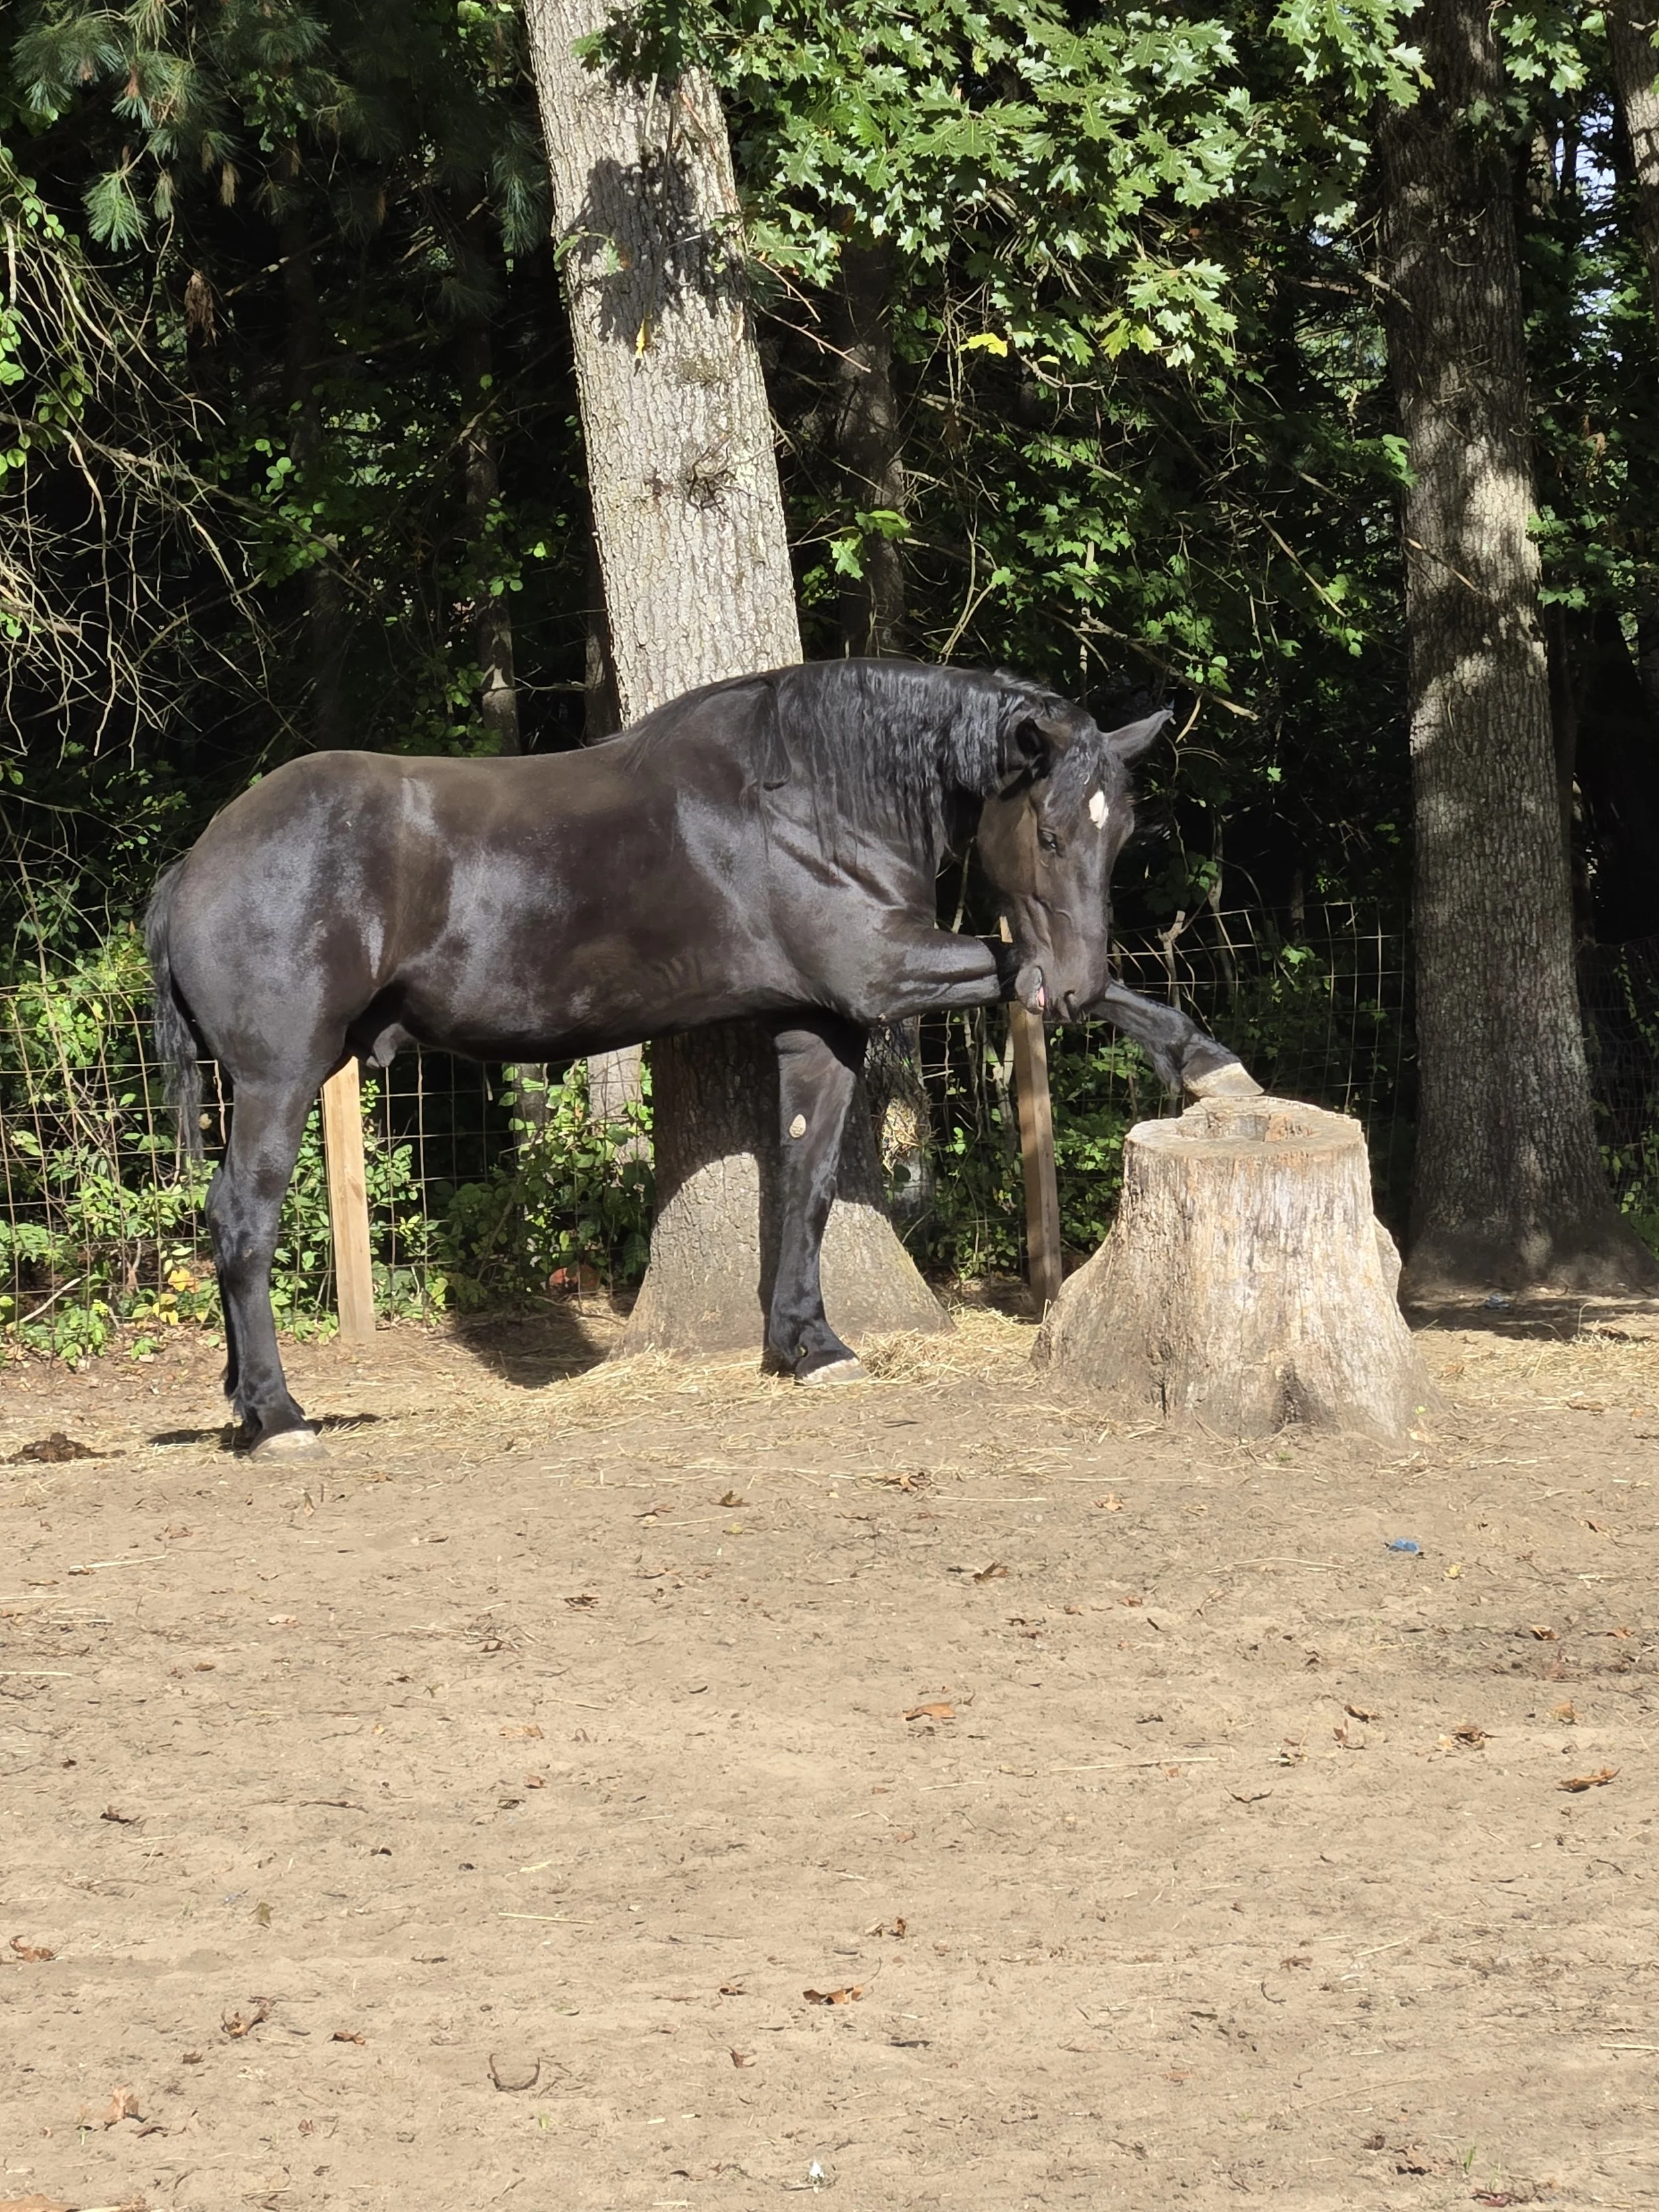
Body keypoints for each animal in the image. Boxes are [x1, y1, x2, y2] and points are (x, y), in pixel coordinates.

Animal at [145, 657, 1258, 1452]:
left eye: (1123, 836)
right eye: (1054, 831)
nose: (1062, 989)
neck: (812, 796)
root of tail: (197, 860)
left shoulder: (823, 1022)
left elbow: (806, 1181)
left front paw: (808, 1344)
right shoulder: (886, 974)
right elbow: (1048, 971)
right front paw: (1210, 1065)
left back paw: (246, 1402)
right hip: (281, 1078)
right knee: (242, 1218)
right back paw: (278, 1416)